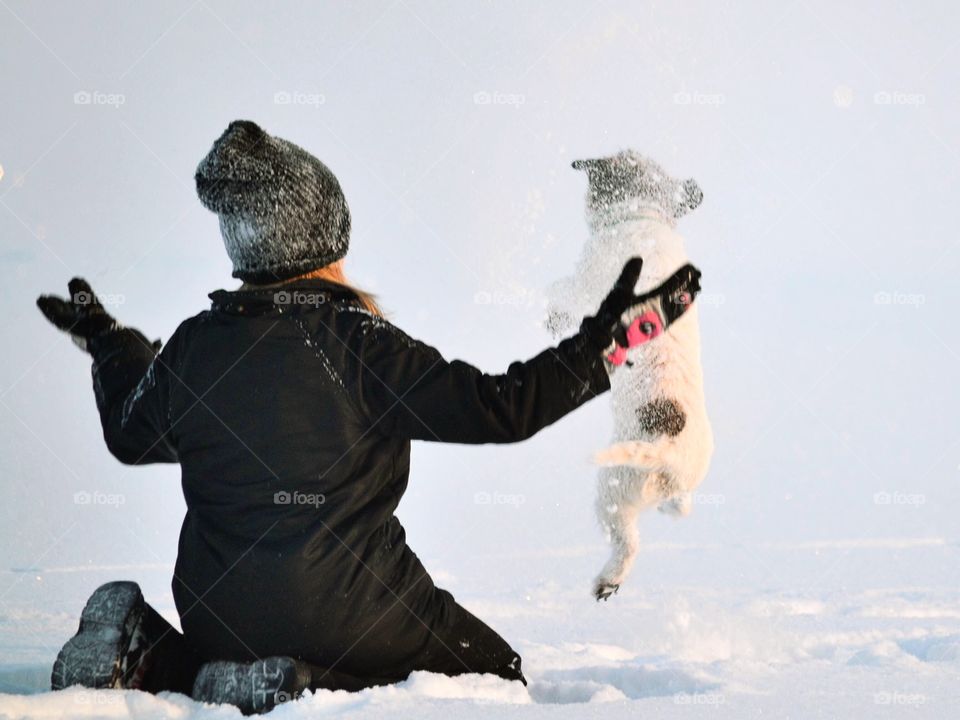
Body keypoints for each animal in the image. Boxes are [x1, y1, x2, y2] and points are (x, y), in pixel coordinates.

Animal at [548, 152, 712, 600]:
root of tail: (668, 457)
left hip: (614, 490)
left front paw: (554, 316)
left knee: (628, 542)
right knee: (676, 509)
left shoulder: (586, 285)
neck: (642, 212)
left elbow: (562, 292)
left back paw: (608, 580)